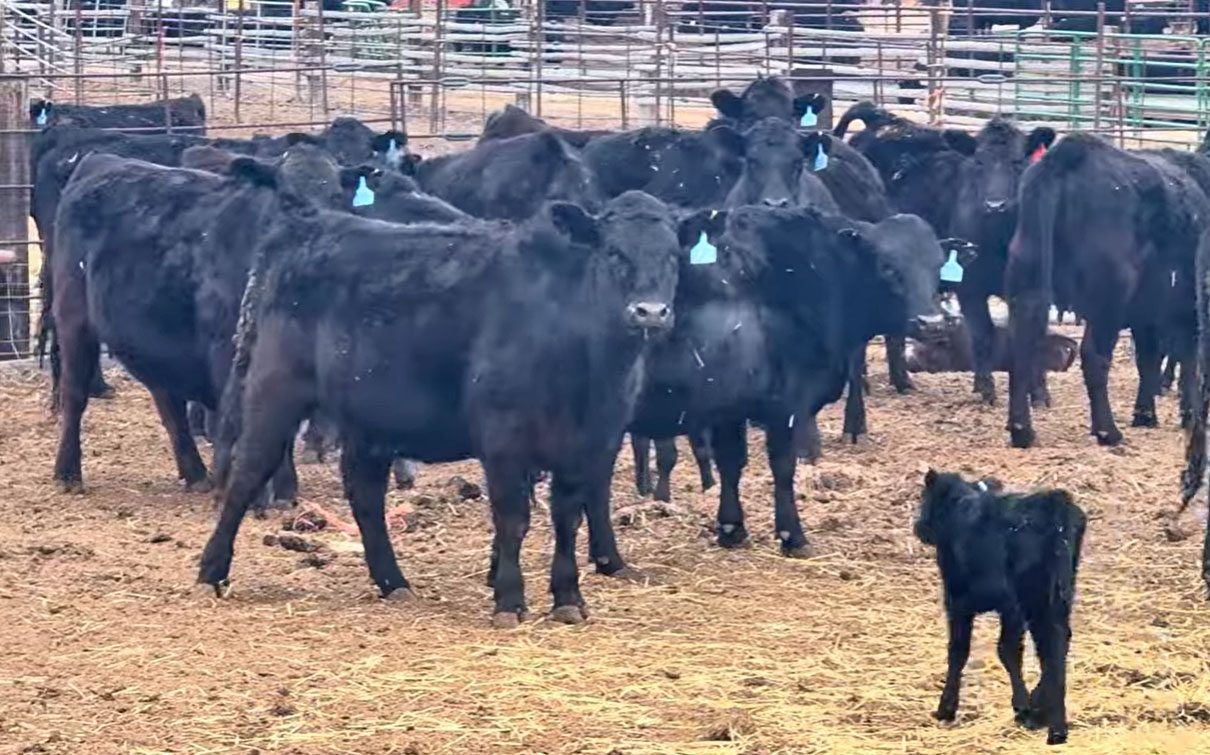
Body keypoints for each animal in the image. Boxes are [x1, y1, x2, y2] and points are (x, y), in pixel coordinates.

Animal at [199, 191, 695, 627]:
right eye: (613, 253)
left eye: (674, 256)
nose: (651, 312)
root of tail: (306, 227)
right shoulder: (502, 437)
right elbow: (513, 517)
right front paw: (509, 601)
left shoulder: (591, 440)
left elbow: (568, 517)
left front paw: (568, 598)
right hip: (274, 394)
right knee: (247, 474)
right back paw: (211, 572)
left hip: (369, 420)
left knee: (365, 496)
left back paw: (393, 581)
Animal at [916, 470, 1085, 746]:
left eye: (924, 497)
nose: (919, 527)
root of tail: (1054, 502)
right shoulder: (1011, 610)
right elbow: (1008, 650)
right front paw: (1025, 707)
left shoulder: (957, 601)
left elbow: (960, 651)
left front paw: (946, 709)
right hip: (1060, 593)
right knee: (1061, 641)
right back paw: (1043, 712)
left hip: (1035, 597)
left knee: (1050, 645)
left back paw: (1056, 730)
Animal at [1007, 133, 1207, 448]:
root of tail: (1072, 153)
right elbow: (1187, 359)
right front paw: (1187, 413)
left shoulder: (1148, 312)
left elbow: (1149, 358)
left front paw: (1145, 414)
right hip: (1108, 300)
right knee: (1094, 356)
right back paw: (1107, 431)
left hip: (1027, 281)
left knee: (1021, 346)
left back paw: (1021, 430)